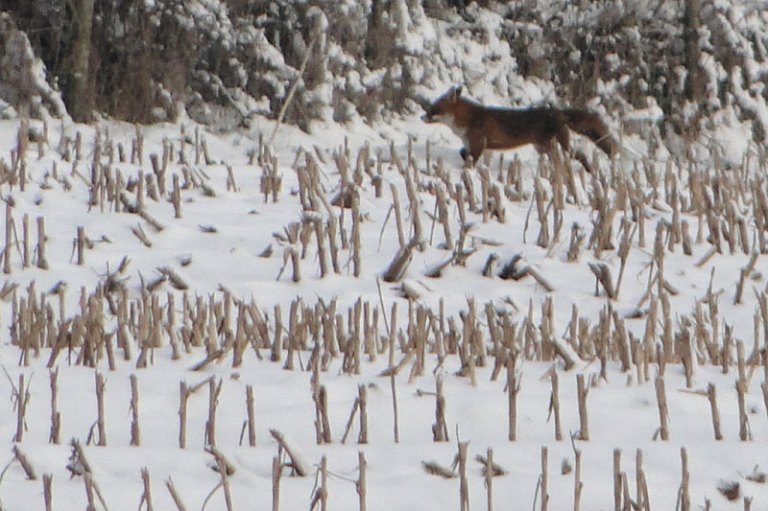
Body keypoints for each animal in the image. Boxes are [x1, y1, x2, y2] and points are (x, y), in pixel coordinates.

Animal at [422, 86, 616, 169]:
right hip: (544, 148)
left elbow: (469, 159)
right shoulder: (473, 144)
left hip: (560, 146)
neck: (468, 120)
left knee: (580, 155)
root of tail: (558, 111)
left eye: (434, 109)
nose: (422, 117)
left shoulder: (478, 143)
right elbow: (463, 153)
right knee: (560, 161)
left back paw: (589, 170)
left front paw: (467, 171)